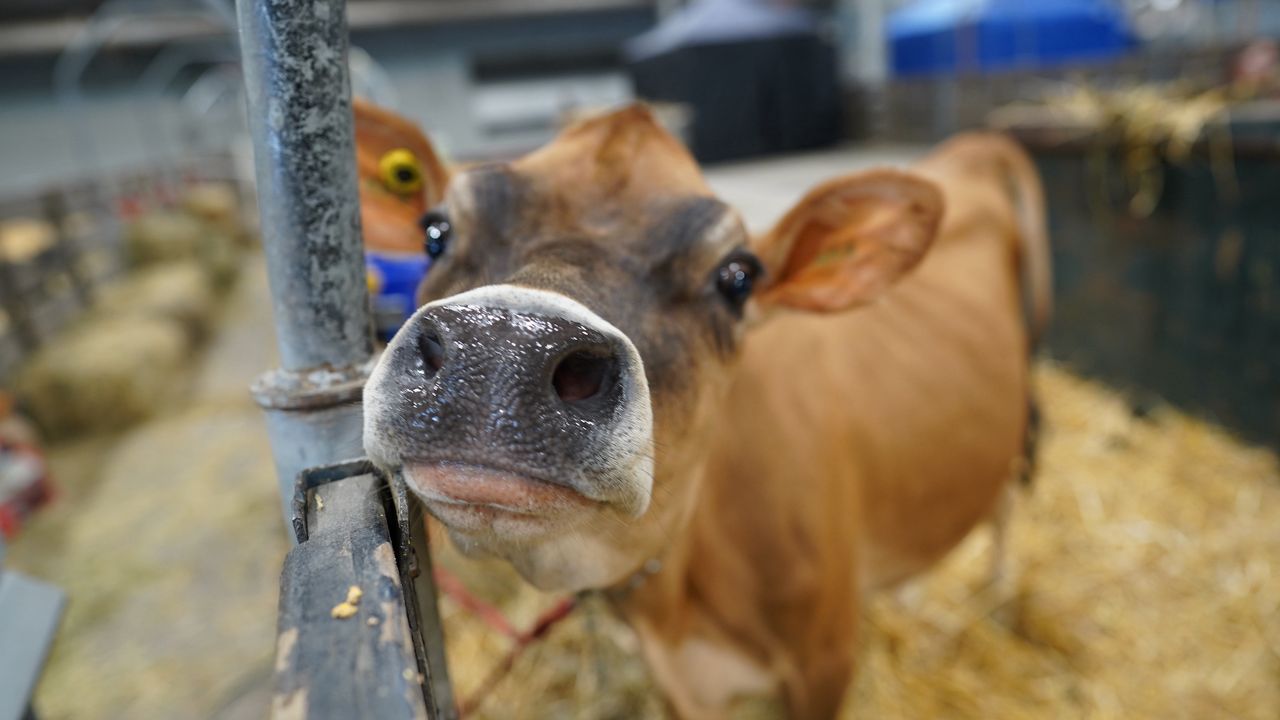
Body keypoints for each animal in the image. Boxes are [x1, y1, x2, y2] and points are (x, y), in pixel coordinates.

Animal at [360, 103, 1049, 712]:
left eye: (737, 277)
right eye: (435, 232)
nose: (503, 347)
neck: (682, 601)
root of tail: (975, 147)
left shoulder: (825, 661)